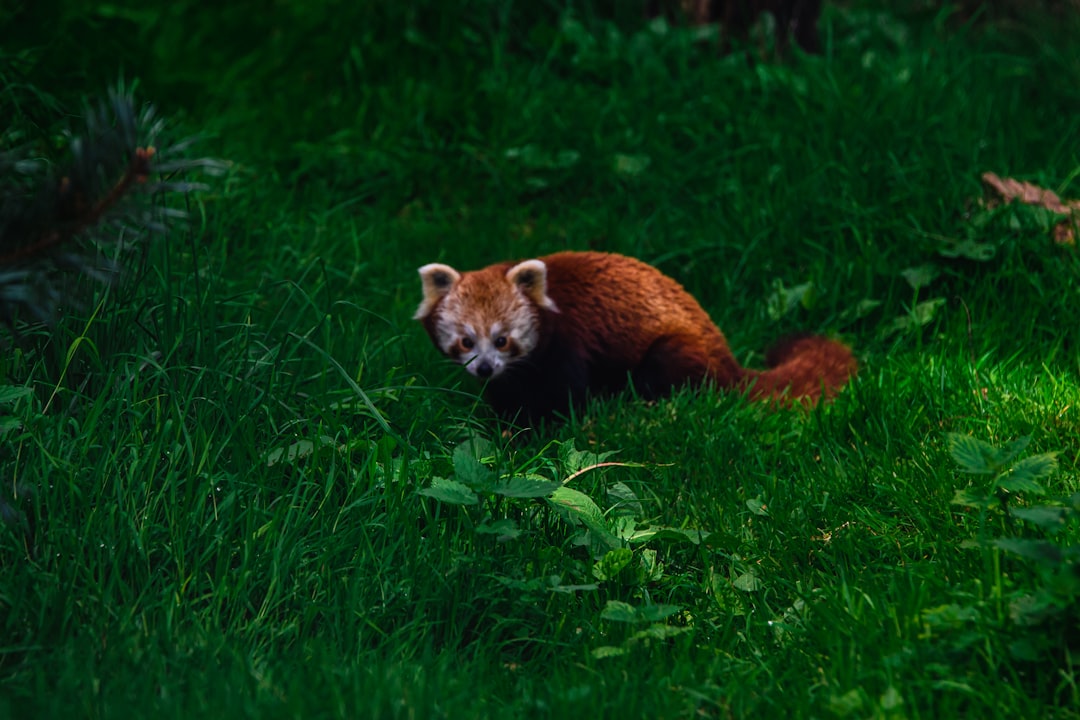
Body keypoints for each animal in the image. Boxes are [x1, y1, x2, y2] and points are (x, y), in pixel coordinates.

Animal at [416, 252, 855, 423]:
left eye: (502, 340)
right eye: (466, 341)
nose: (486, 369)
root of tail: (728, 358)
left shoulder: (568, 347)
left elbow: (563, 399)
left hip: (676, 349)